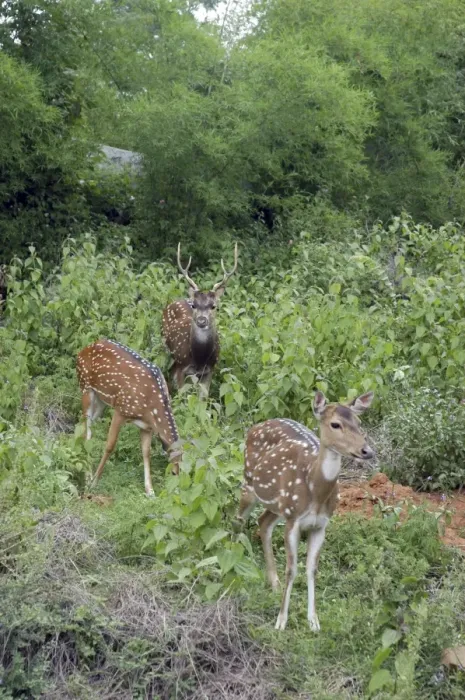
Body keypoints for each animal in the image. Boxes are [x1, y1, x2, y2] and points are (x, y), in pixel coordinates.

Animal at [76, 339, 182, 496]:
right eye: (174, 472)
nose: (178, 492)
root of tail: (83, 350)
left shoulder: (147, 427)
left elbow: (146, 452)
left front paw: (150, 491)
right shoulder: (120, 410)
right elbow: (110, 445)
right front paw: (94, 483)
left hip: (101, 400)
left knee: (88, 428)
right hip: (86, 388)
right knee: (86, 431)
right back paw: (88, 479)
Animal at [162, 243, 238, 398]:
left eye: (214, 306)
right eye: (194, 305)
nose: (202, 320)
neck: (199, 359)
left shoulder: (210, 370)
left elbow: (202, 399)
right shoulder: (181, 367)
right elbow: (183, 397)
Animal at [237, 390, 375, 631]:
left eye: (358, 422)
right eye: (335, 424)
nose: (367, 451)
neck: (315, 491)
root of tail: (256, 426)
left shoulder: (320, 525)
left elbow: (312, 569)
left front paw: (314, 621)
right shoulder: (293, 521)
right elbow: (292, 569)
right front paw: (281, 621)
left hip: (278, 506)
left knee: (263, 522)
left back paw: (273, 582)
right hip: (249, 483)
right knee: (238, 517)